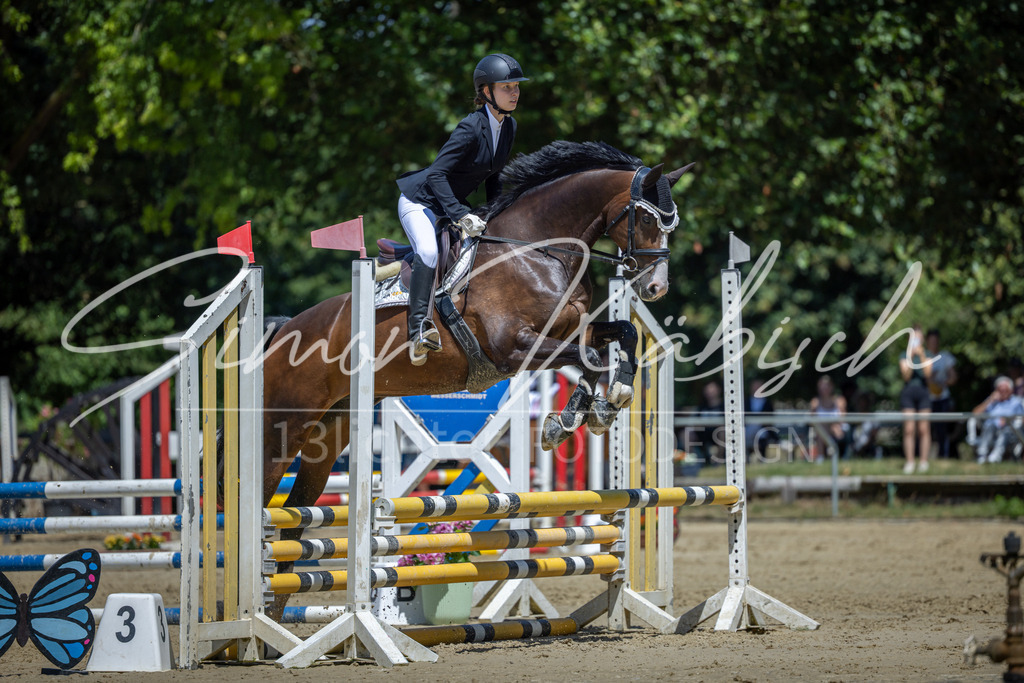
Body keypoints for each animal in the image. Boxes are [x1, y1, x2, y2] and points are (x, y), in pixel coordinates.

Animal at [259, 140, 693, 617]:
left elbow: (622, 335)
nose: (656, 289)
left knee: (297, 516)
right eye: (648, 218)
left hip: (330, 431)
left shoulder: (568, 332)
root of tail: (285, 328)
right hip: (284, 427)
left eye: (671, 223)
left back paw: (276, 615)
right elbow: (592, 358)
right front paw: (579, 415)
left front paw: (603, 403)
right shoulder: (514, 348)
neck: (538, 250)